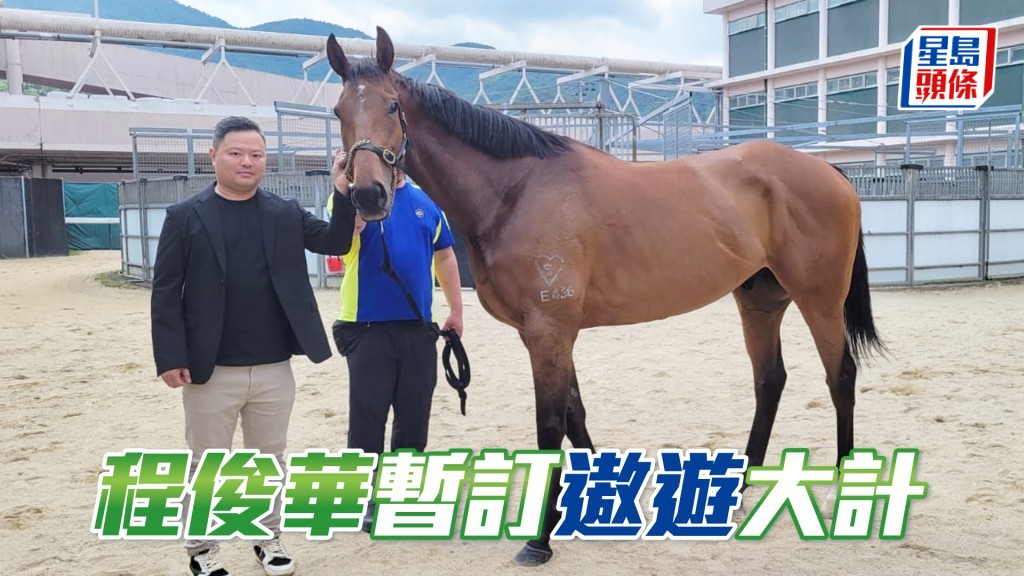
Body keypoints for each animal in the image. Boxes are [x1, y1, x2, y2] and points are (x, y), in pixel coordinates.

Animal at [325, 28, 883, 565]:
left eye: (392, 106)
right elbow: (575, 416)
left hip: (820, 301)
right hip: (760, 301)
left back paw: (845, 490)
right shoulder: (545, 333)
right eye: (338, 112)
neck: (516, 191)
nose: (369, 195)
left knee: (840, 376)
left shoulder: (549, 331)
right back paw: (740, 487)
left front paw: (539, 541)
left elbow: (550, 425)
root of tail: (828, 171)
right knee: (770, 380)